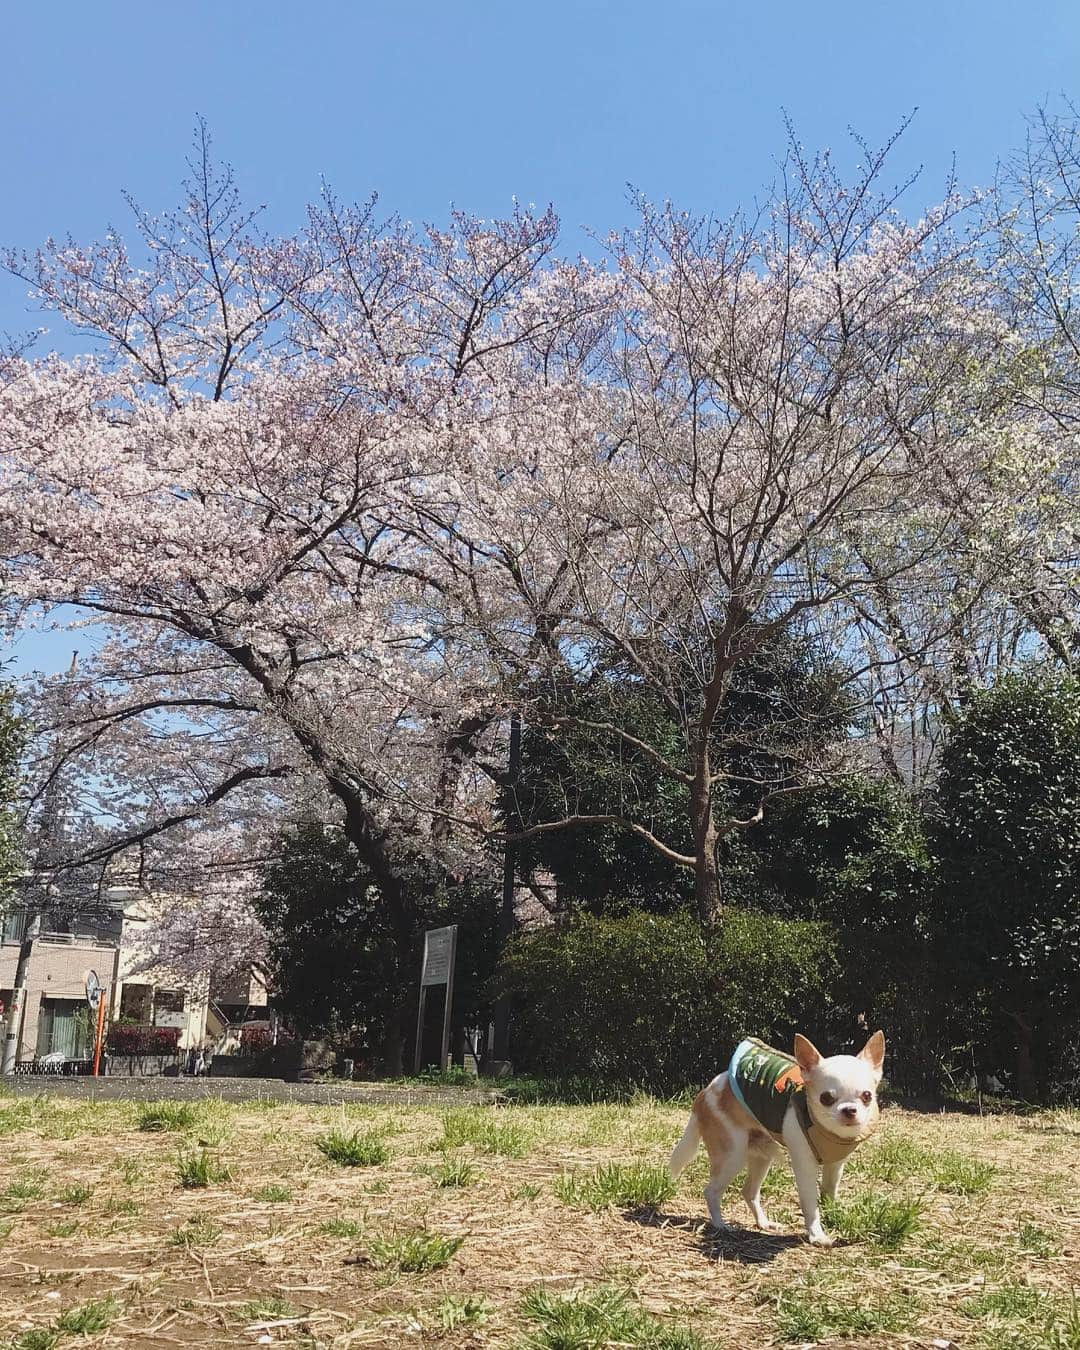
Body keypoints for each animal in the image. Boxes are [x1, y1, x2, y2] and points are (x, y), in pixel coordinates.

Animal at [666, 1031, 885, 1242]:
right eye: (826, 1098)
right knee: (711, 1191)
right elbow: (810, 1202)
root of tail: (704, 1094)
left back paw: (763, 1223)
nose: (849, 1110)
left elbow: (829, 1190)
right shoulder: (804, 1166)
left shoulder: (835, 1165)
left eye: (867, 1096)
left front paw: (832, 1212)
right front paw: (817, 1235)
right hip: (732, 1156)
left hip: (761, 1155)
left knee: (749, 1191)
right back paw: (721, 1225)